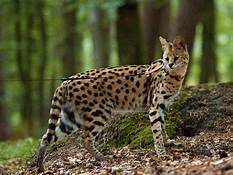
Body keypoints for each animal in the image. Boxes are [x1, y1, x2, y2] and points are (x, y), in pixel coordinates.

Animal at [36, 35, 189, 171]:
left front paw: (168, 142)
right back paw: (101, 157)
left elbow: (162, 127)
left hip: (72, 119)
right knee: (84, 138)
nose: (170, 65)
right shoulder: (155, 107)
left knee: (46, 137)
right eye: (166, 58)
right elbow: (157, 131)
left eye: (176, 57)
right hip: (100, 112)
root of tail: (66, 81)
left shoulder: (161, 106)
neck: (174, 75)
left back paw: (40, 166)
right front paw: (161, 153)